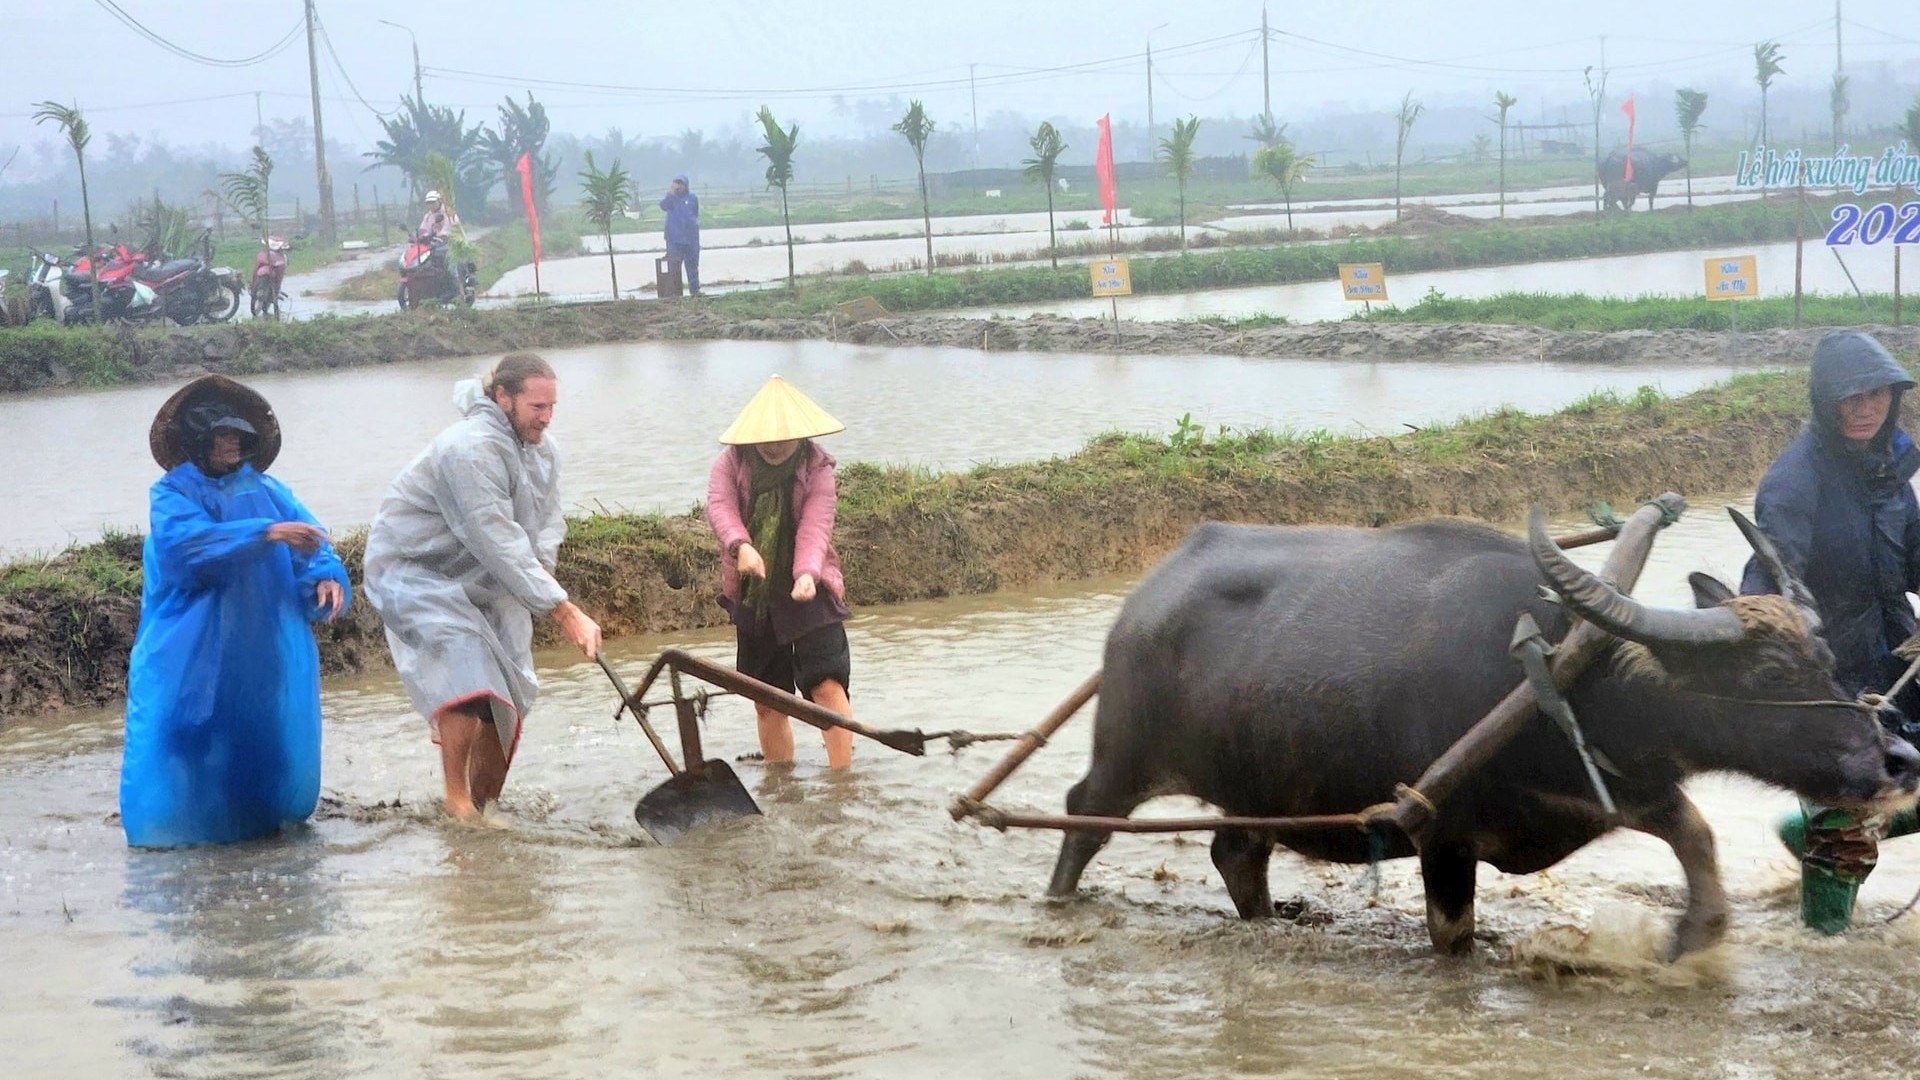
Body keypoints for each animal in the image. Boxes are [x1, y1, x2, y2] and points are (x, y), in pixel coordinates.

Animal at [1052, 507, 1920, 953]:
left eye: (1826, 659)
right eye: (1771, 675)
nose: (1897, 757)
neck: (1561, 677)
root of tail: (1143, 603)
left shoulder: (1622, 787)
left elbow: (1698, 843)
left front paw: (1688, 938)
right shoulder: (1443, 837)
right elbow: (1454, 936)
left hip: (1260, 788)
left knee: (1236, 853)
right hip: (1123, 756)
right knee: (1082, 818)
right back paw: (1058, 902)